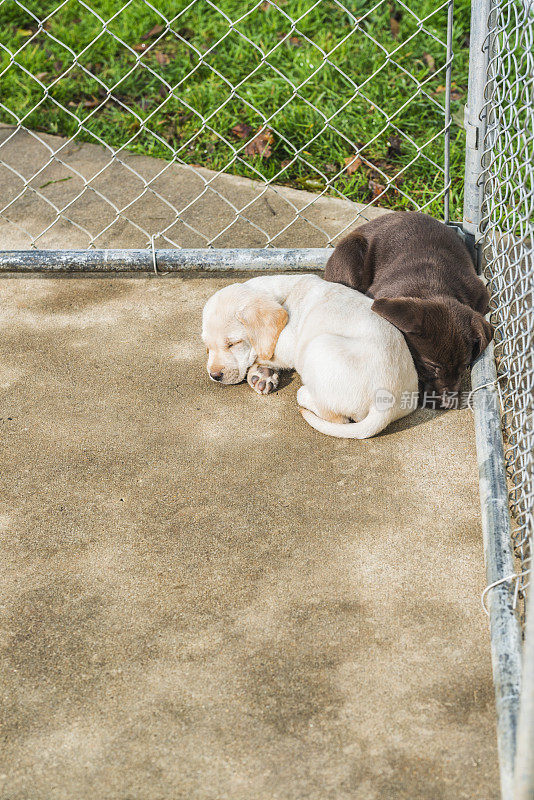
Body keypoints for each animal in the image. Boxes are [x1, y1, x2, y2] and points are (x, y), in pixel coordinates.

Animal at [203, 274, 420, 438]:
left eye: (233, 343)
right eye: (207, 346)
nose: (214, 376)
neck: (282, 297)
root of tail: (386, 404)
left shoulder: (286, 348)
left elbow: (261, 356)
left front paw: (260, 371)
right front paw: (262, 375)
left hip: (316, 346)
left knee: (337, 417)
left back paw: (305, 395)